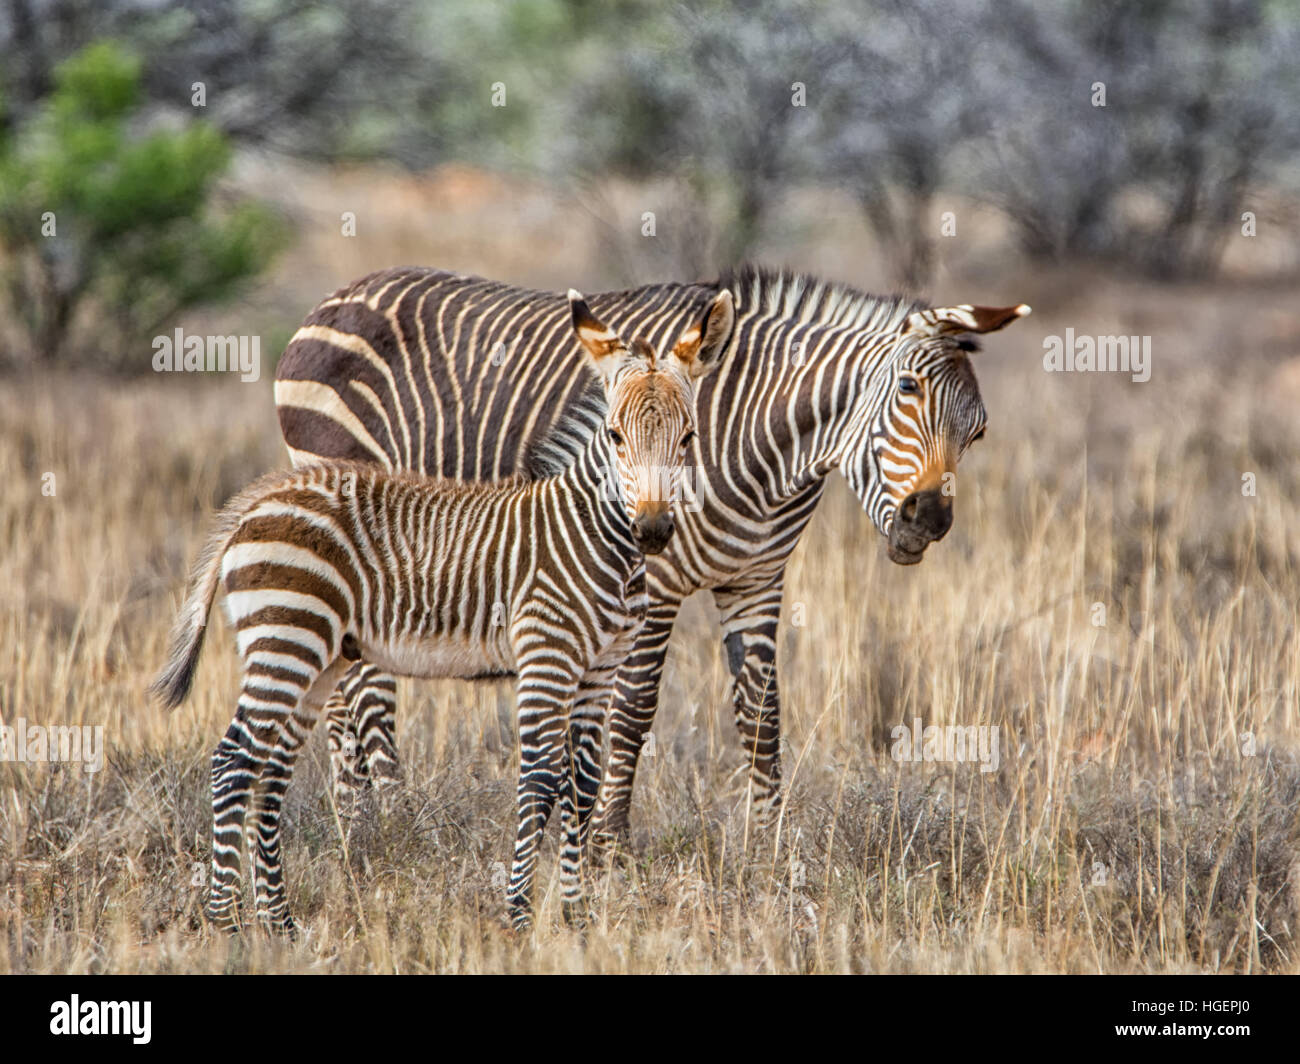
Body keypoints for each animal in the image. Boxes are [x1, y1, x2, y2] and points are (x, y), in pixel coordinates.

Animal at [152, 288, 735, 932]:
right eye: (615, 437)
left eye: (688, 438)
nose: (653, 532)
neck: (592, 533)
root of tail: (259, 499)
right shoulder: (547, 657)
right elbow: (540, 782)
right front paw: (519, 914)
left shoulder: (599, 670)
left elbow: (582, 787)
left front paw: (577, 916)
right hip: (287, 636)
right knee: (234, 761)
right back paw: (225, 923)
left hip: (317, 654)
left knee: (271, 770)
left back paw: (277, 920)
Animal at [274, 264, 1031, 848]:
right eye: (906, 391)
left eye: (980, 431)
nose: (929, 520)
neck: (768, 451)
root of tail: (337, 296)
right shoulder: (655, 579)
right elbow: (634, 712)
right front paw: (610, 846)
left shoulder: (757, 581)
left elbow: (762, 715)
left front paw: (769, 846)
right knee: (357, 689)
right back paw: (389, 822)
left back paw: (360, 825)